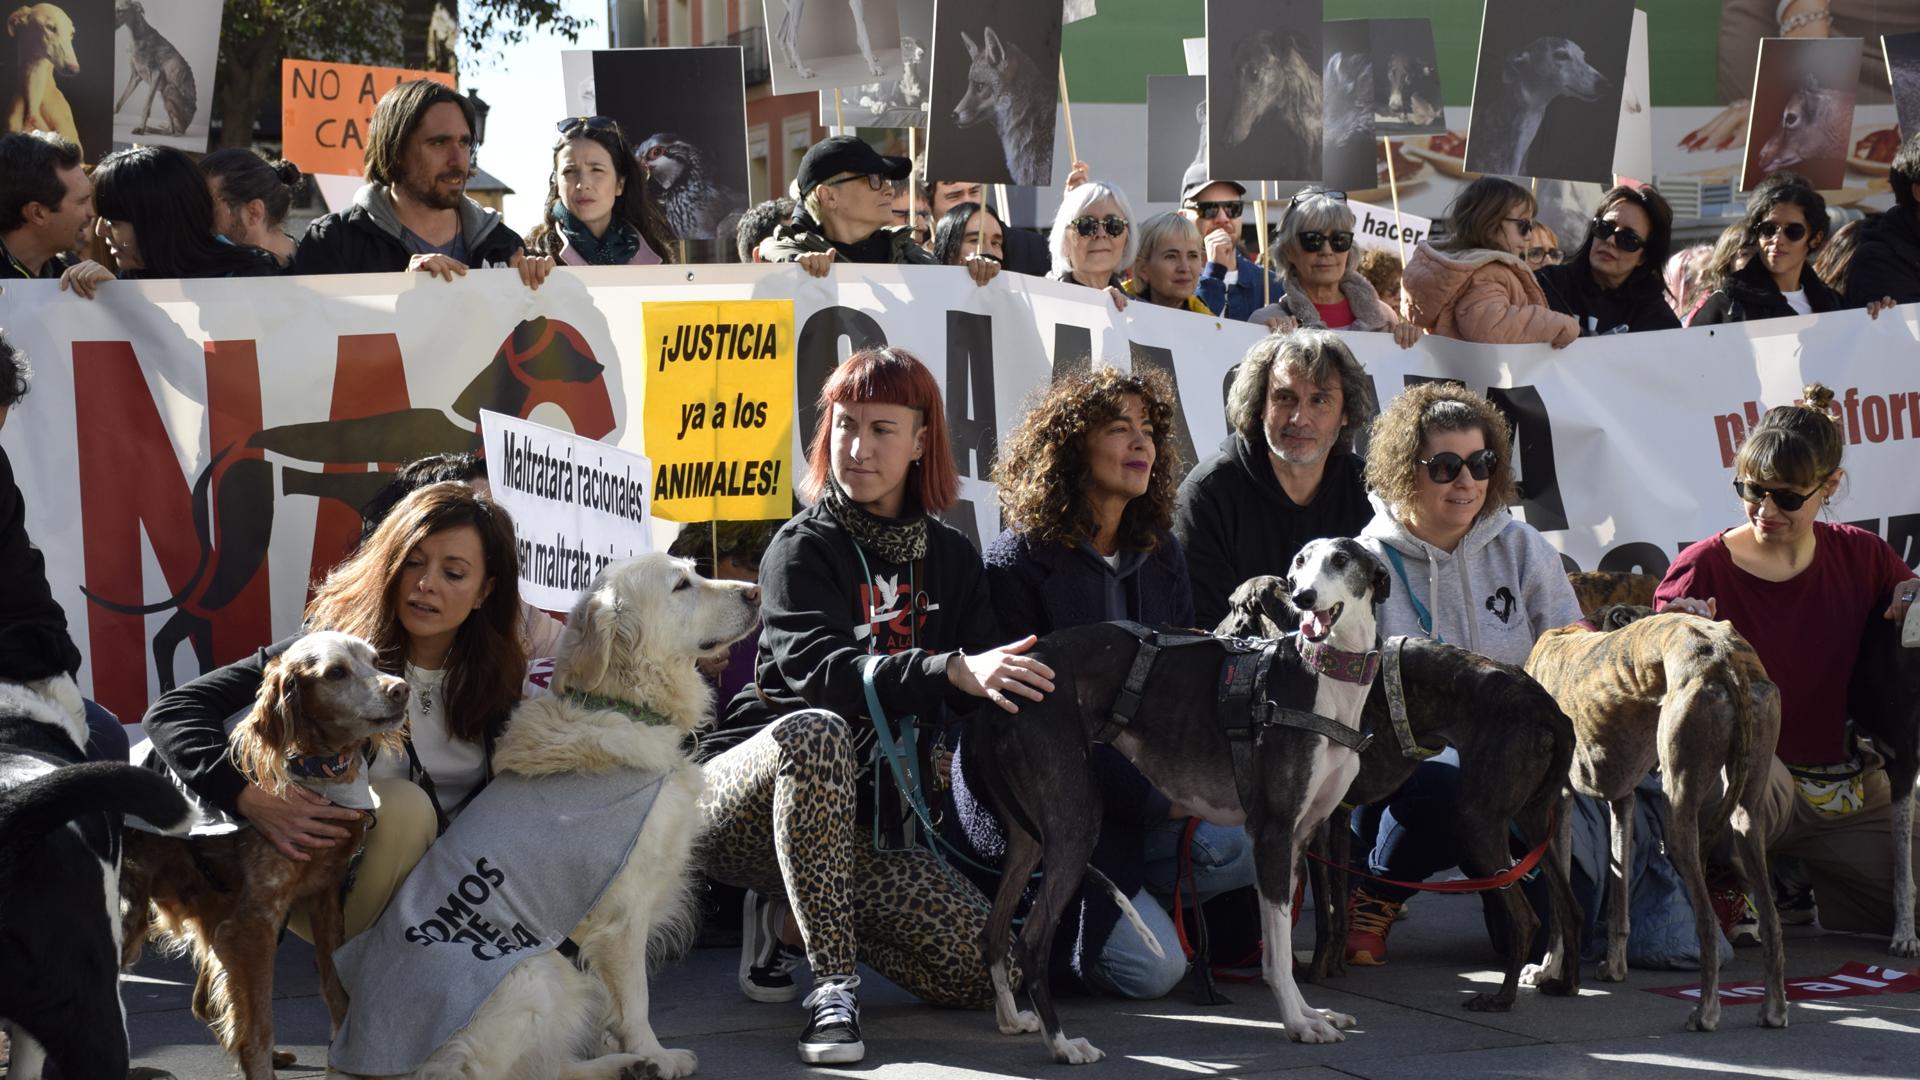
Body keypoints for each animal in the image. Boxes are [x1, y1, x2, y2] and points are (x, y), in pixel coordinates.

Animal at [120, 630, 412, 1076]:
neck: (316, 770)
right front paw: (261, 1068)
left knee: (204, 1002)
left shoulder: (325, 898)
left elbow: (334, 989)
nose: (400, 689)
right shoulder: (254, 923)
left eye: (376, 661)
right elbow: (259, 1025)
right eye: (336, 673)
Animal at [1520, 611, 1789, 1030]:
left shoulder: (1557, 802)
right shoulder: (1623, 800)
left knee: (1706, 921)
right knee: (1772, 919)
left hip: (1680, 808)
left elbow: (1559, 900)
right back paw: (1773, 1009)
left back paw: (1705, 1012)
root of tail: (1724, 656)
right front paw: (1614, 968)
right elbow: (1618, 894)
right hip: (1747, 812)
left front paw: (1548, 970)